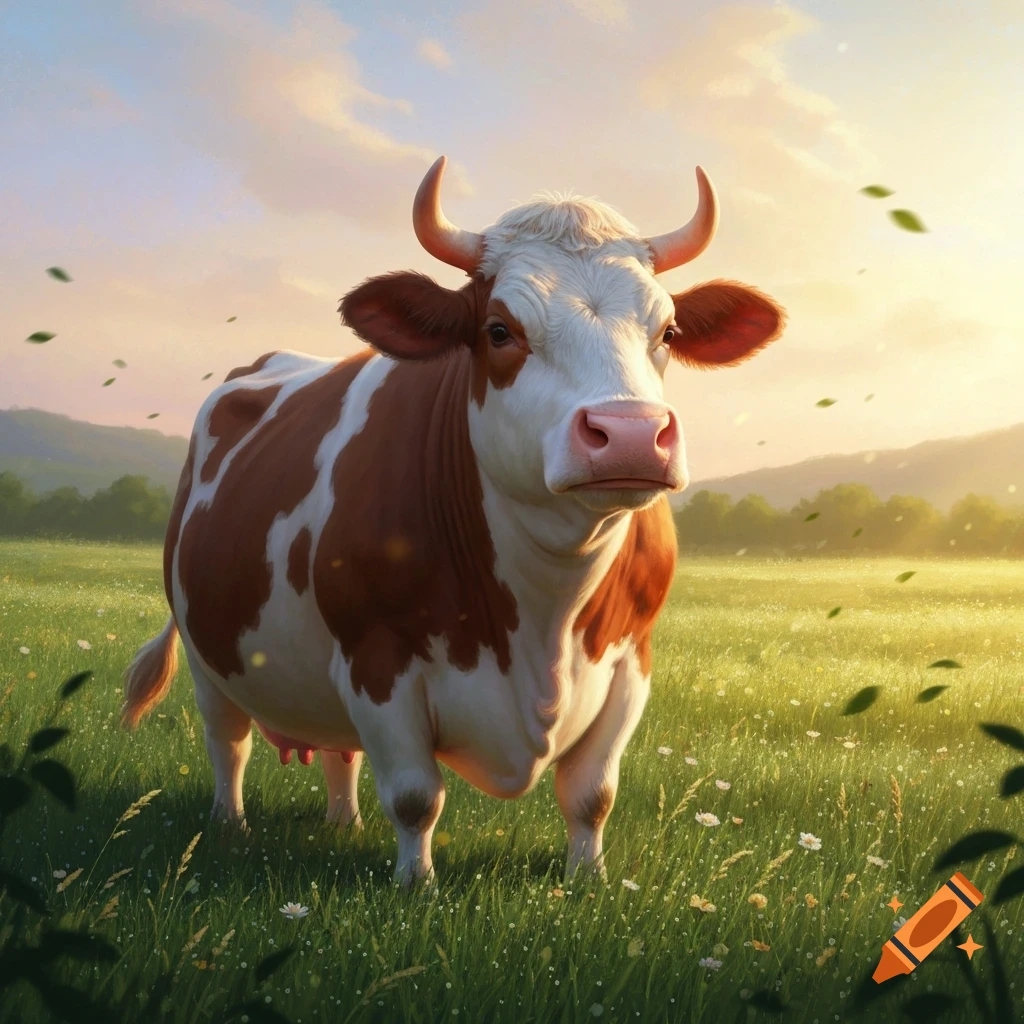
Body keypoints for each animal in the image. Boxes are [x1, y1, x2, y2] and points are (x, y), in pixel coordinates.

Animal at [123, 156, 785, 886]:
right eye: (499, 329)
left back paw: (344, 822)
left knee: (338, 752)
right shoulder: (377, 658)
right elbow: (415, 796)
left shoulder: (631, 658)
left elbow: (592, 793)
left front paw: (588, 880)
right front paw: (416, 884)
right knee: (228, 742)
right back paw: (230, 825)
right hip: (206, 649)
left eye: (666, 332)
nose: (632, 434)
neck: (546, 611)